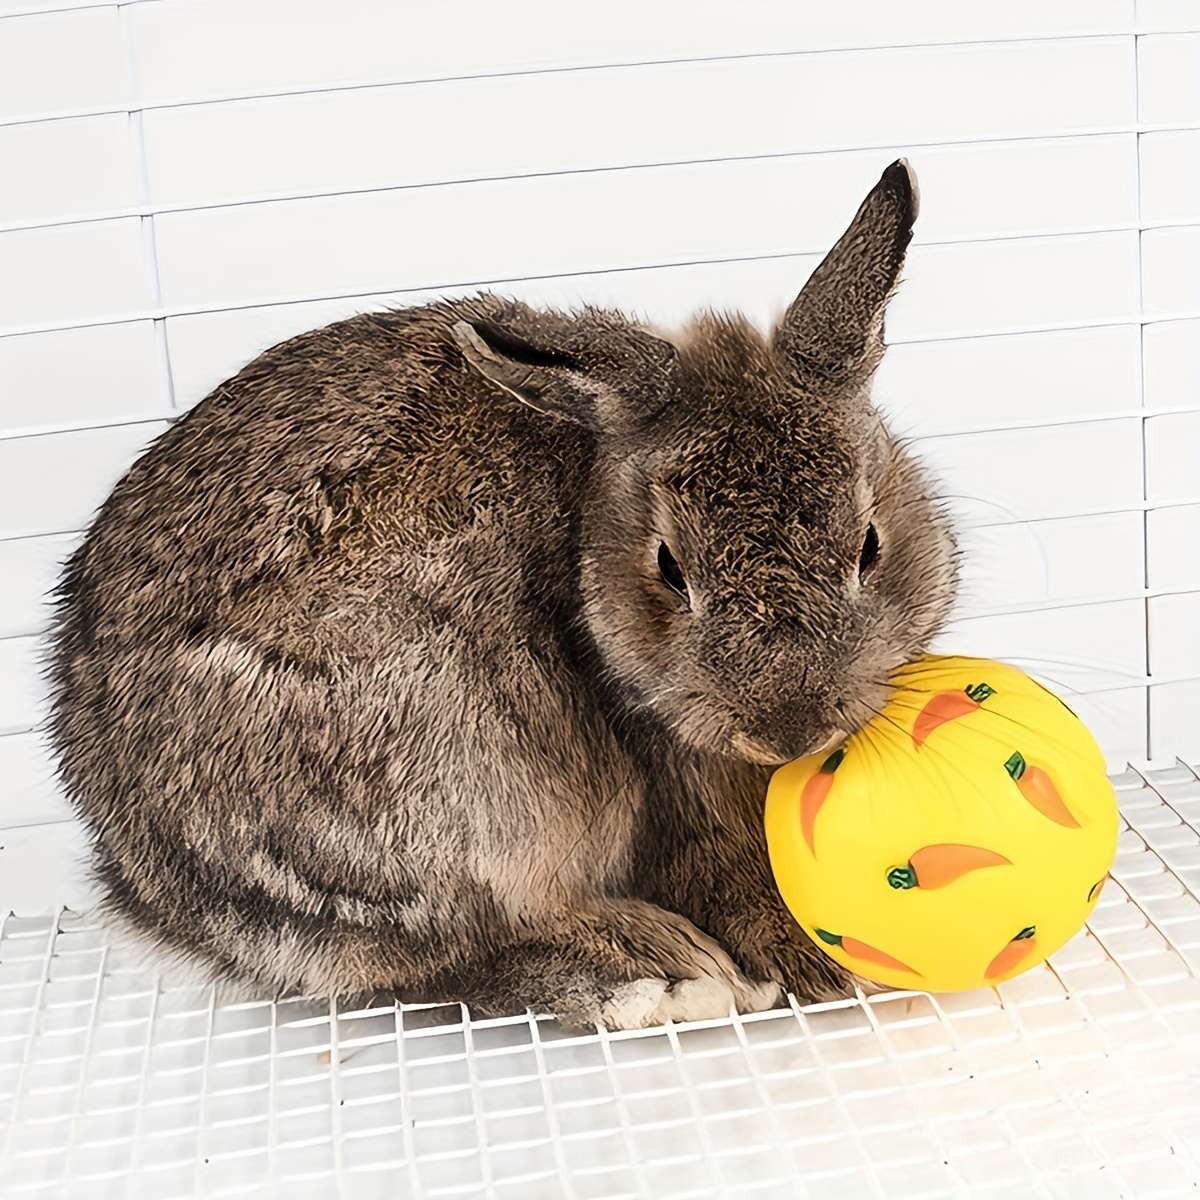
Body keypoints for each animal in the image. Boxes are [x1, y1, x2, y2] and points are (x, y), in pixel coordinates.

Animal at [47, 159, 956, 1030]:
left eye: (869, 546)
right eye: (669, 567)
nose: (788, 727)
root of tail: (150, 876)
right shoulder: (667, 782)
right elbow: (724, 870)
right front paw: (813, 963)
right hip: (458, 788)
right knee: (457, 955)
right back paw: (657, 971)